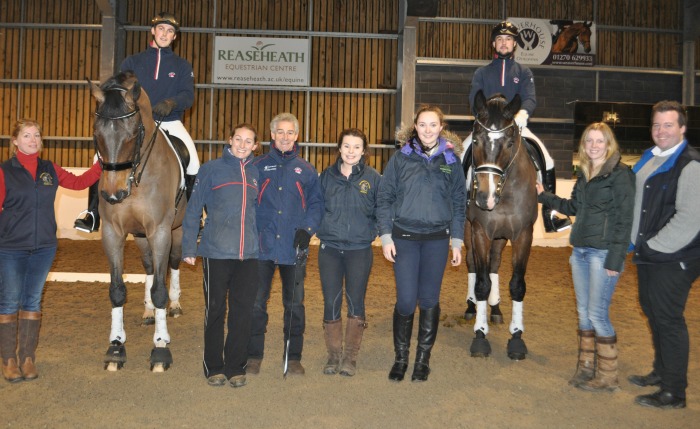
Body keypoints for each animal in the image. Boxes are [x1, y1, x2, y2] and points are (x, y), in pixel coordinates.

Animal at [91, 71, 187, 372]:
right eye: (97, 134)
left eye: (133, 135)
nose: (113, 194)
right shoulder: (113, 233)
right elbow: (117, 290)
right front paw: (116, 346)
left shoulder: (160, 232)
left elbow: (160, 290)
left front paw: (160, 348)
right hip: (141, 237)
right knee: (148, 267)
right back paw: (147, 311)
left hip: (176, 231)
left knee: (173, 264)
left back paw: (174, 307)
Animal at [464, 92, 540, 360]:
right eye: (476, 140)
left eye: (509, 143)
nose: (484, 198)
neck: (505, 192)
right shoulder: (480, 232)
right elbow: (481, 283)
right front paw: (480, 334)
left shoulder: (523, 234)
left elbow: (517, 285)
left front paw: (517, 337)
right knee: (473, 264)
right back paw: (471, 307)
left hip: (501, 237)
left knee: (495, 264)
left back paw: (495, 308)